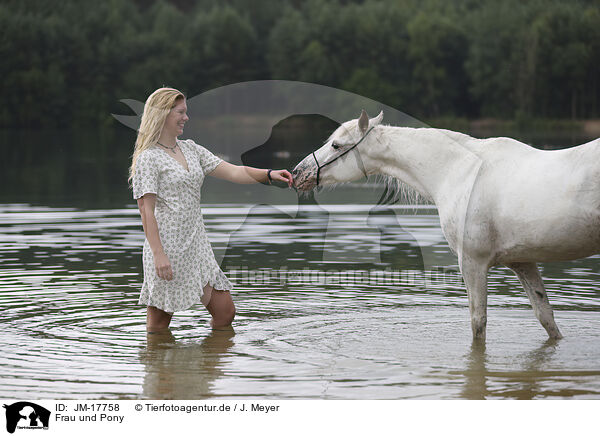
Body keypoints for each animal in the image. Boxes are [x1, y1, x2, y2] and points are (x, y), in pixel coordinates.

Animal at [292, 109, 600, 340]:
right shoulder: (522, 261)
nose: (297, 173)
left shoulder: (473, 263)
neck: (460, 170)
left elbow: (478, 322)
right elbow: (546, 317)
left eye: (336, 145)